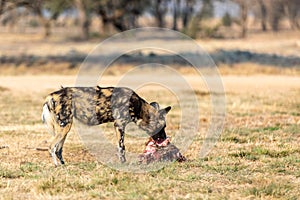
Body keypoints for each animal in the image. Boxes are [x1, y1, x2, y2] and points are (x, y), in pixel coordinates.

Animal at [41, 86, 171, 166]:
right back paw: (56, 165)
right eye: (163, 127)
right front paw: (124, 163)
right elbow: (121, 147)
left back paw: (63, 165)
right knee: (51, 147)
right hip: (65, 126)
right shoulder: (119, 125)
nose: (165, 138)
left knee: (58, 149)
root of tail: (51, 96)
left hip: (64, 128)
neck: (138, 107)